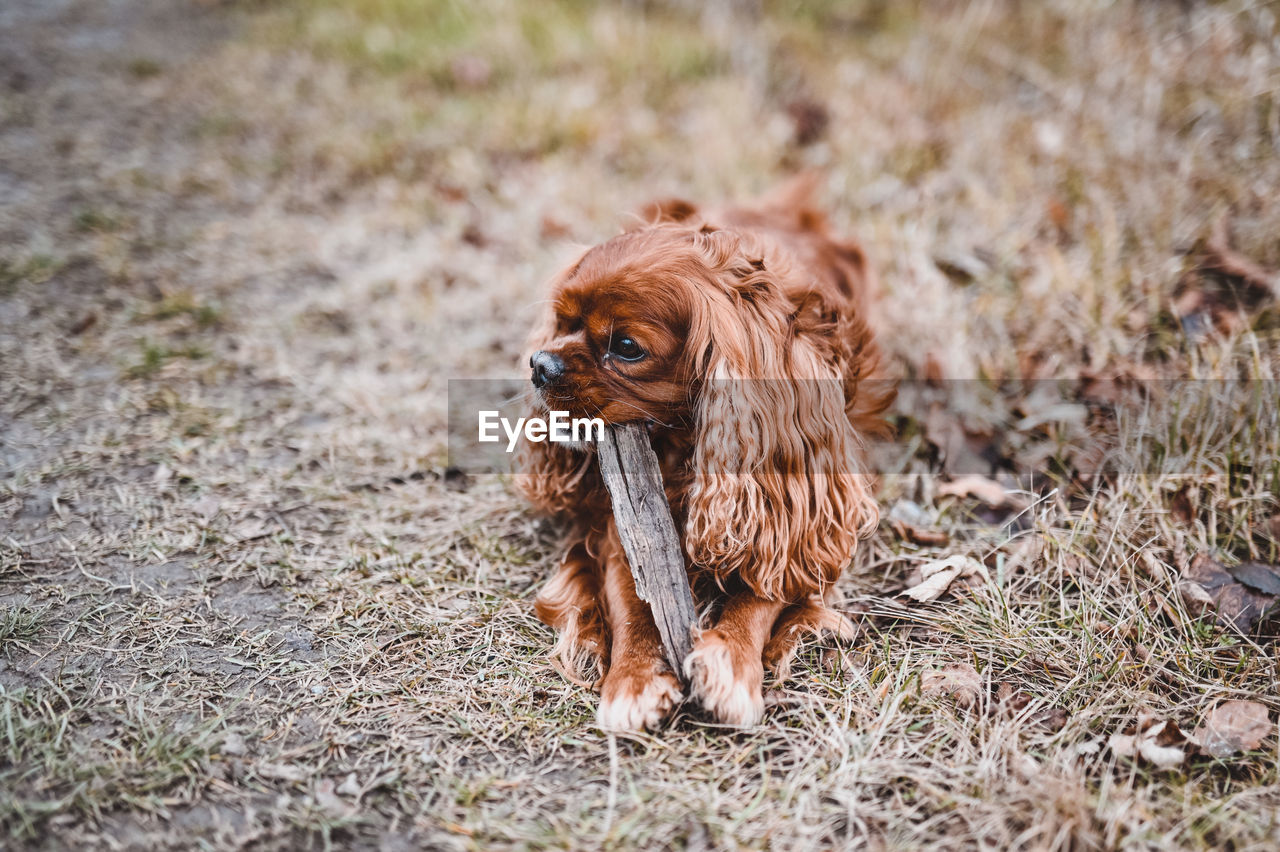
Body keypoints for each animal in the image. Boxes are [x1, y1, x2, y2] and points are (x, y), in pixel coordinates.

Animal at [512, 175, 890, 726]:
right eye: (561, 322)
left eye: (626, 347)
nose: (541, 364)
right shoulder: (620, 523)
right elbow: (635, 597)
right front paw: (634, 677)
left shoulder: (799, 515)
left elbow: (763, 590)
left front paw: (731, 659)